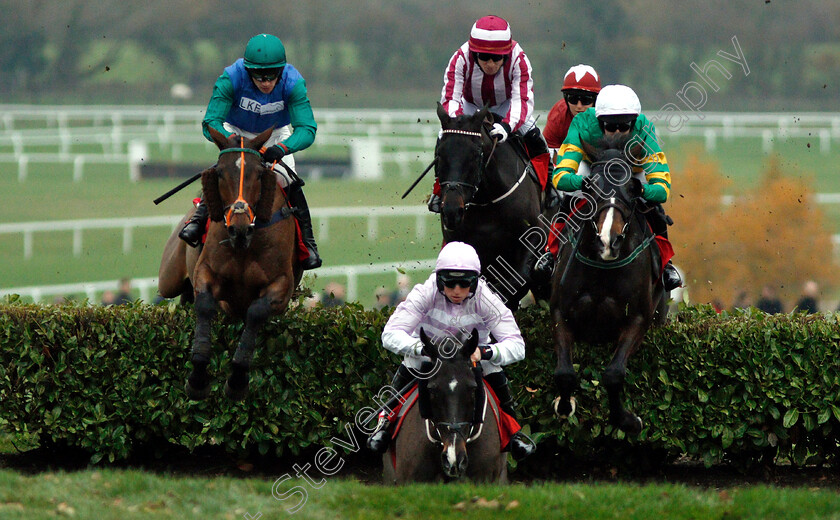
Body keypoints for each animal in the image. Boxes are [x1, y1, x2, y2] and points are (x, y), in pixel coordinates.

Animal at [158, 127, 302, 402]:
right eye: (221, 173)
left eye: (259, 174)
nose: (239, 228)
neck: (245, 245)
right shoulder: (206, 272)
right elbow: (204, 305)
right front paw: (197, 379)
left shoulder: (281, 286)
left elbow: (256, 313)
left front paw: (236, 381)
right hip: (168, 280)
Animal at [552, 137, 668, 434]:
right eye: (591, 187)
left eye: (632, 189)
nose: (608, 241)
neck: (602, 272)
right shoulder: (561, 313)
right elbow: (565, 373)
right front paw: (564, 404)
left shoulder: (638, 319)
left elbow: (614, 374)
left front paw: (627, 419)